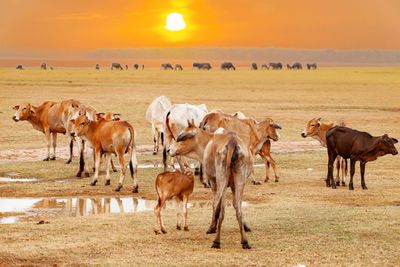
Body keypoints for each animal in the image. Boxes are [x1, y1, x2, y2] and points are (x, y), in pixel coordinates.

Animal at [167, 122, 252, 250]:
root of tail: (232, 141)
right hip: (239, 182)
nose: (168, 150)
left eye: (180, 138)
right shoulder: (233, 186)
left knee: (221, 211)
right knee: (238, 210)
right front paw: (245, 226)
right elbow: (236, 206)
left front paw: (212, 227)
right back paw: (245, 241)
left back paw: (216, 241)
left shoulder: (213, 182)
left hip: (222, 181)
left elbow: (215, 205)